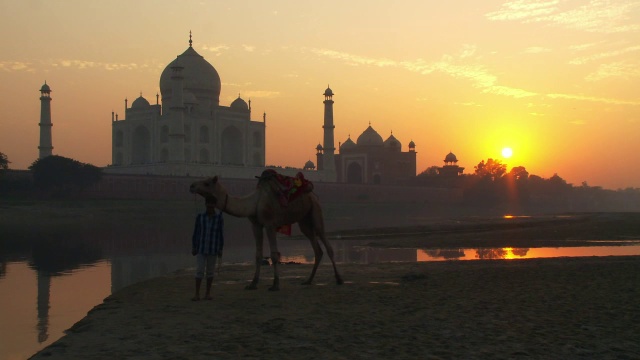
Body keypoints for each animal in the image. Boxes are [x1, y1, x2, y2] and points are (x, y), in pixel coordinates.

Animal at [188, 172, 342, 292]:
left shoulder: (269, 224)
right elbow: (258, 255)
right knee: (316, 248)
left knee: (326, 243)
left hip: (316, 211)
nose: (192, 186)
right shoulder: (255, 225)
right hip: (304, 220)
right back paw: (308, 280)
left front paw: (275, 284)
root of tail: (312, 194)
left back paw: (339, 279)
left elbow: (274, 255)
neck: (254, 202)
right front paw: (252, 283)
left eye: (207, 183)